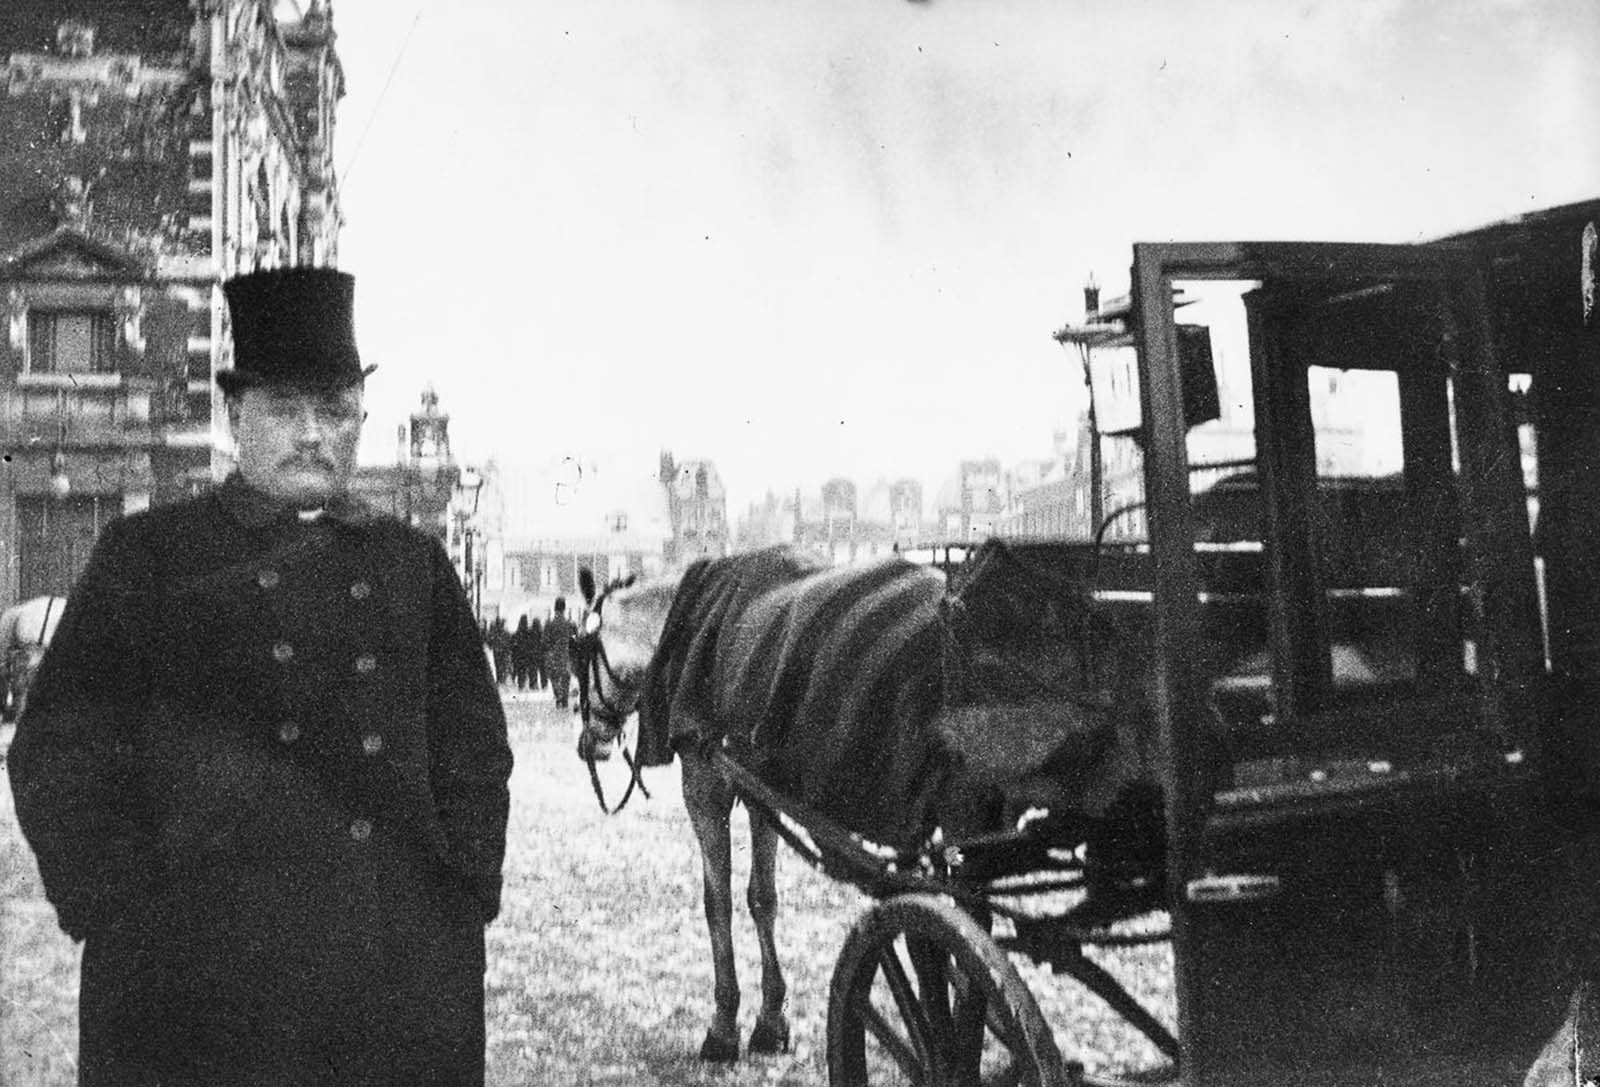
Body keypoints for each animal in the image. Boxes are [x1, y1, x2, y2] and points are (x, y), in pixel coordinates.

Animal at [569, 544, 1158, 1062]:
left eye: (576, 653)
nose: (587, 743)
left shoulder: (705, 783)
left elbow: (718, 904)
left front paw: (724, 1026)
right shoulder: (764, 789)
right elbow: (763, 897)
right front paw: (771, 1021)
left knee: (964, 921)